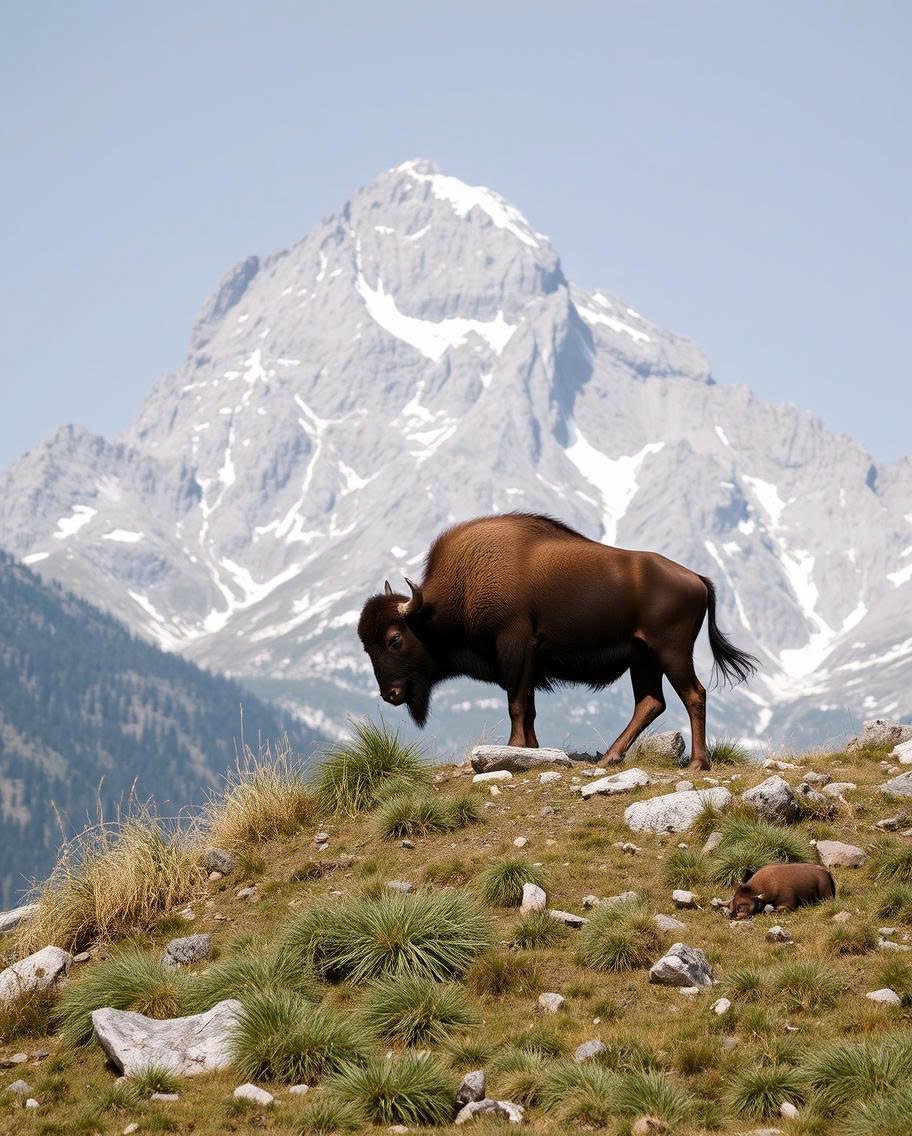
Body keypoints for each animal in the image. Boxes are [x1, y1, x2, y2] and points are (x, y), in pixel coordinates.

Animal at [356, 515, 754, 772]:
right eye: (365, 646)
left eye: (394, 639)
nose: (390, 694)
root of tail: (696, 578)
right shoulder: (527, 664)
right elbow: (528, 708)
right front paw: (531, 749)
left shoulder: (515, 651)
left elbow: (517, 704)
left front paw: (514, 747)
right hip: (644, 660)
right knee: (650, 702)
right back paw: (611, 756)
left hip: (671, 653)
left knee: (694, 694)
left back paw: (698, 763)